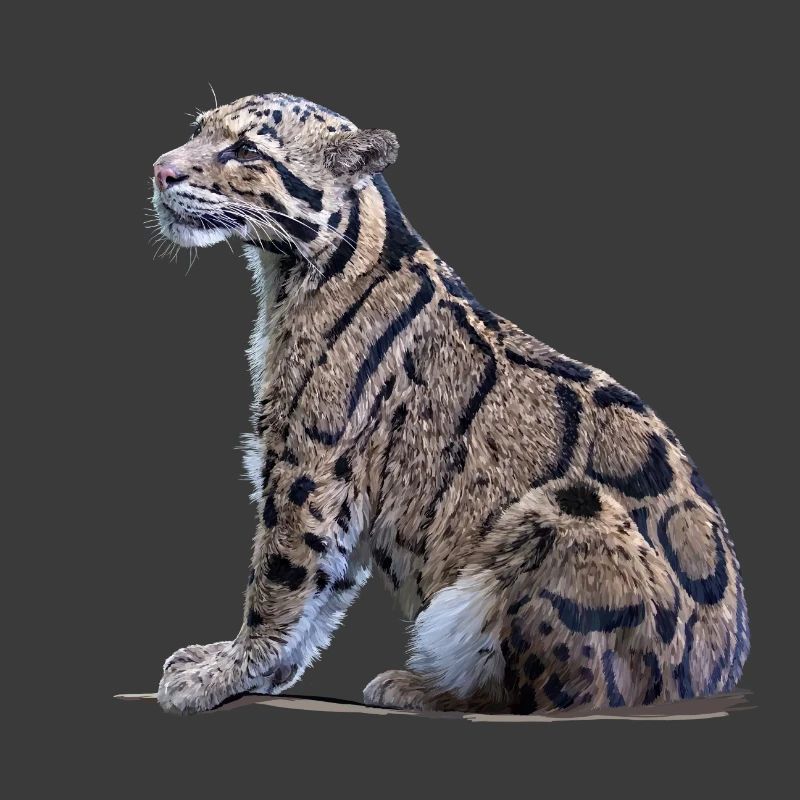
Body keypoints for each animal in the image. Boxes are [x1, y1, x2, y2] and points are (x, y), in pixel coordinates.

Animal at [150, 92, 749, 715]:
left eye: (246, 149)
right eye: (198, 130)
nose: (161, 171)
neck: (285, 277)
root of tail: (716, 672)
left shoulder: (308, 466)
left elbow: (281, 579)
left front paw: (223, 673)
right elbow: (323, 589)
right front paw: (254, 670)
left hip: (570, 512)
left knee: (564, 694)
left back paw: (422, 685)